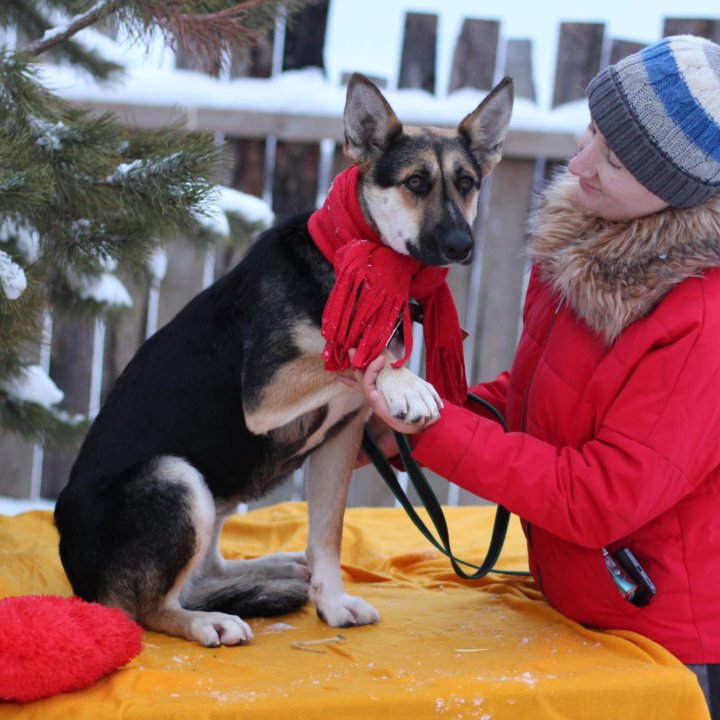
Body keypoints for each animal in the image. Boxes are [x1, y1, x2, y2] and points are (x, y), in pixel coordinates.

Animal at [54, 73, 512, 648]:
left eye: (467, 182)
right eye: (415, 182)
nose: (460, 245)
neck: (354, 263)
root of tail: (78, 578)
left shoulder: (341, 437)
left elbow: (328, 536)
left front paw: (332, 605)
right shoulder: (266, 392)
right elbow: (348, 356)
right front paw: (405, 382)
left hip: (211, 496)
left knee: (208, 571)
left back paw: (277, 567)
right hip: (177, 479)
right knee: (147, 608)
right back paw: (206, 619)